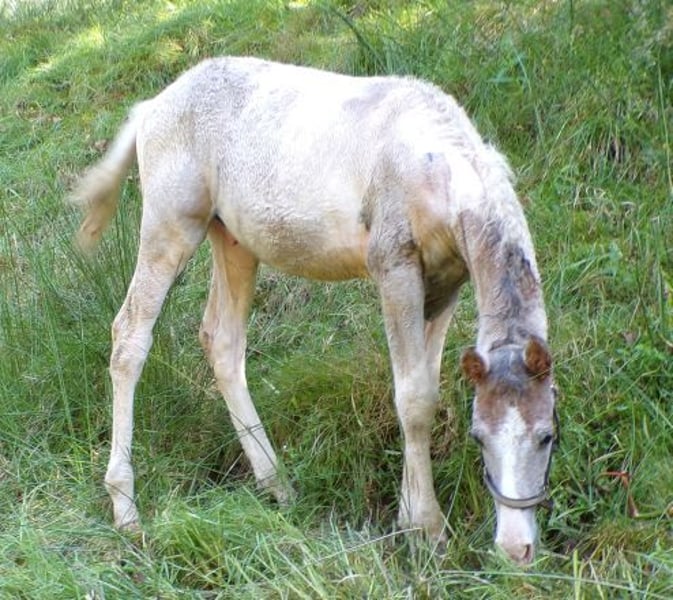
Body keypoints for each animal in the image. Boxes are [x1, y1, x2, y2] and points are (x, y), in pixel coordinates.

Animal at [70, 56, 558, 564]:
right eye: (479, 436)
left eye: (547, 435)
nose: (516, 549)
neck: (438, 167)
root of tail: (153, 106)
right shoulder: (395, 270)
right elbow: (413, 400)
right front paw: (427, 529)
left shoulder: (446, 286)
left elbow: (426, 387)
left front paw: (409, 514)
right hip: (170, 228)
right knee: (130, 336)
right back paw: (126, 509)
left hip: (234, 241)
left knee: (222, 341)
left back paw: (277, 484)